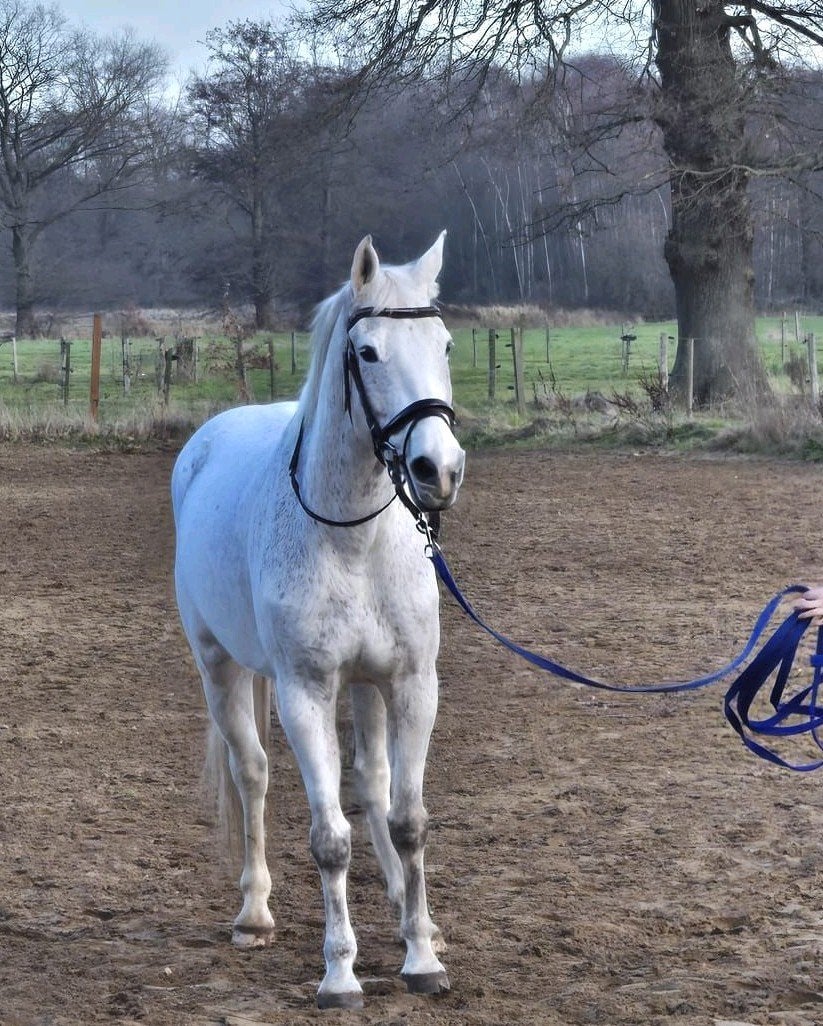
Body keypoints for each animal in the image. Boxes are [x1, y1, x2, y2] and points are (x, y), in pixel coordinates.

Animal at [171, 232, 465, 1009]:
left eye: (445, 343)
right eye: (367, 352)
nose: (438, 470)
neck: (353, 537)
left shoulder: (411, 684)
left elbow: (407, 818)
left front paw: (421, 954)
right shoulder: (304, 692)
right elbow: (329, 839)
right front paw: (339, 973)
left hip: (364, 686)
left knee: (372, 784)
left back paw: (402, 908)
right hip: (218, 667)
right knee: (251, 773)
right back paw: (254, 914)